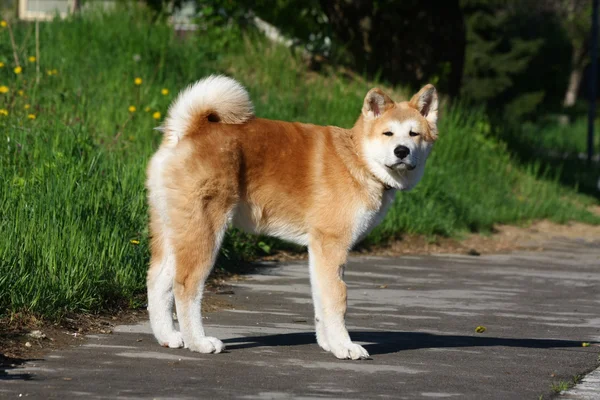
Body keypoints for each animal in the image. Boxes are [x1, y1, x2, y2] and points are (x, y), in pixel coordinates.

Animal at [145, 74, 436, 360]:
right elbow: (337, 300)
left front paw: (330, 344)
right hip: (205, 231)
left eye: (414, 134)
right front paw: (345, 346)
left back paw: (168, 337)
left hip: (175, 230)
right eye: (388, 133)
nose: (402, 151)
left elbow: (322, 301)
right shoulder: (332, 245)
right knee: (186, 286)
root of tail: (187, 130)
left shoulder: (320, 251)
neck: (358, 160)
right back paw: (199, 342)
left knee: (157, 282)